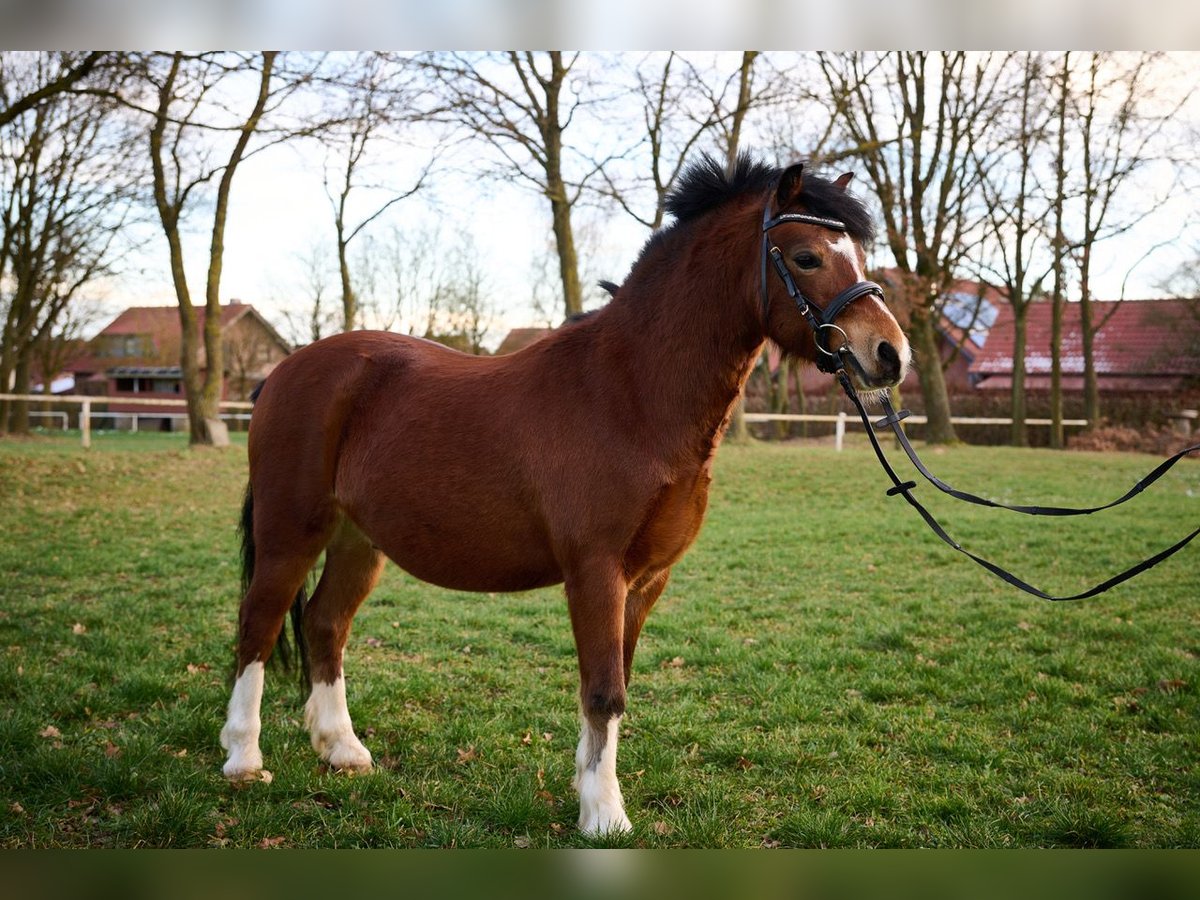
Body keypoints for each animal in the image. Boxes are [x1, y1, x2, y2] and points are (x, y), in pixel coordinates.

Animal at [220, 154, 907, 840]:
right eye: (806, 257)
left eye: (859, 255)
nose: (889, 354)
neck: (629, 395)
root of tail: (283, 372)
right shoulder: (596, 571)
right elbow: (603, 691)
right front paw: (605, 816)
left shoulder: (646, 580)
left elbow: (615, 686)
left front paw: (590, 792)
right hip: (291, 533)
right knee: (259, 624)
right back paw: (243, 759)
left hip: (358, 542)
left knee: (324, 623)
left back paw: (343, 750)